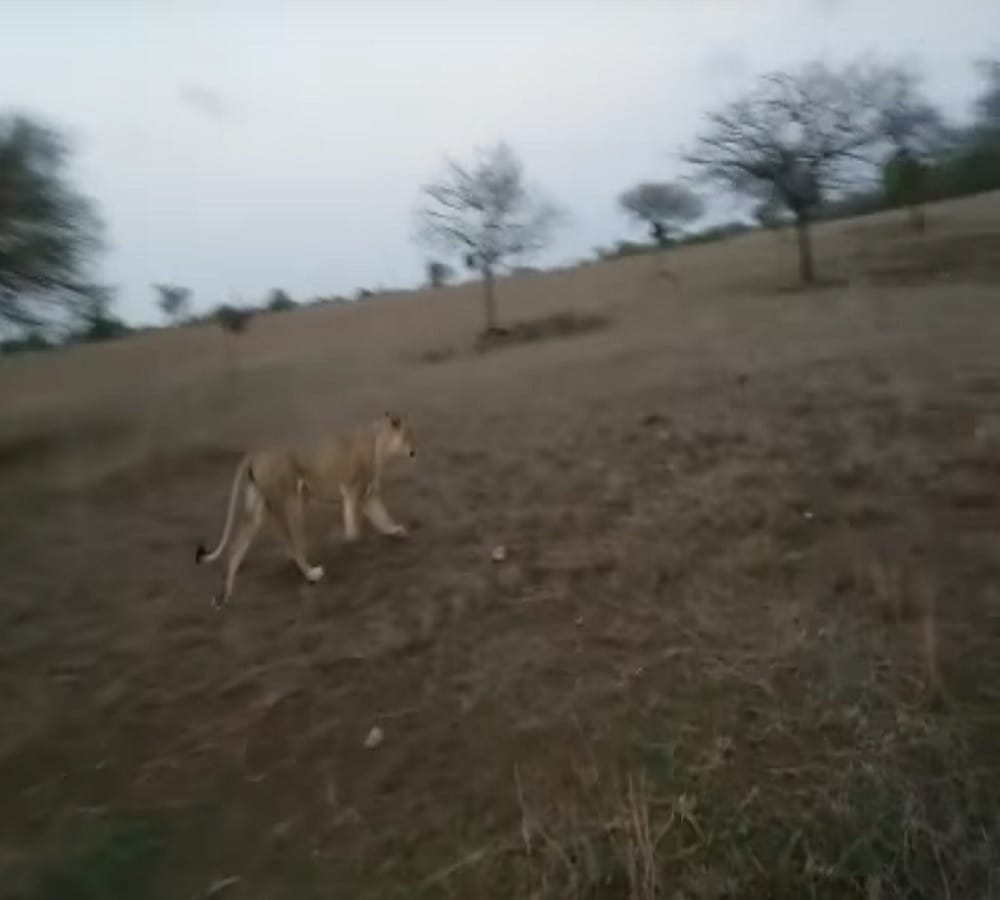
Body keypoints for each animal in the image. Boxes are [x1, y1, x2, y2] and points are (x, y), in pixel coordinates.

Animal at [195, 412, 416, 608]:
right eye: (408, 435)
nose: (414, 451)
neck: (379, 440)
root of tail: (256, 454)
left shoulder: (369, 497)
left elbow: (383, 518)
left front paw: (396, 530)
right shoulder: (354, 492)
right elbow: (354, 527)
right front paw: (346, 538)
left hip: (259, 510)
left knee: (237, 548)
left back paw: (224, 597)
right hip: (291, 502)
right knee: (293, 544)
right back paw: (311, 573)